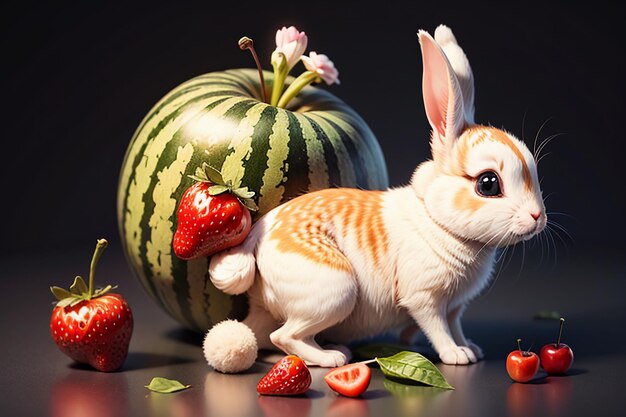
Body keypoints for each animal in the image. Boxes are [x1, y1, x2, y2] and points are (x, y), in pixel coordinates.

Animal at [202, 25, 544, 370]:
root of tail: (257, 236)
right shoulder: (425, 299)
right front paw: (457, 356)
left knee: (263, 334)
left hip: (280, 307)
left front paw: (471, 348)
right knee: (285, 335)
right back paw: (332, 357)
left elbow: (456, 325)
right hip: (334, 293)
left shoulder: (455, 306)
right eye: (488, 184)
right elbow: (439, 329)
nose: (537, 218)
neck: (437, 221)